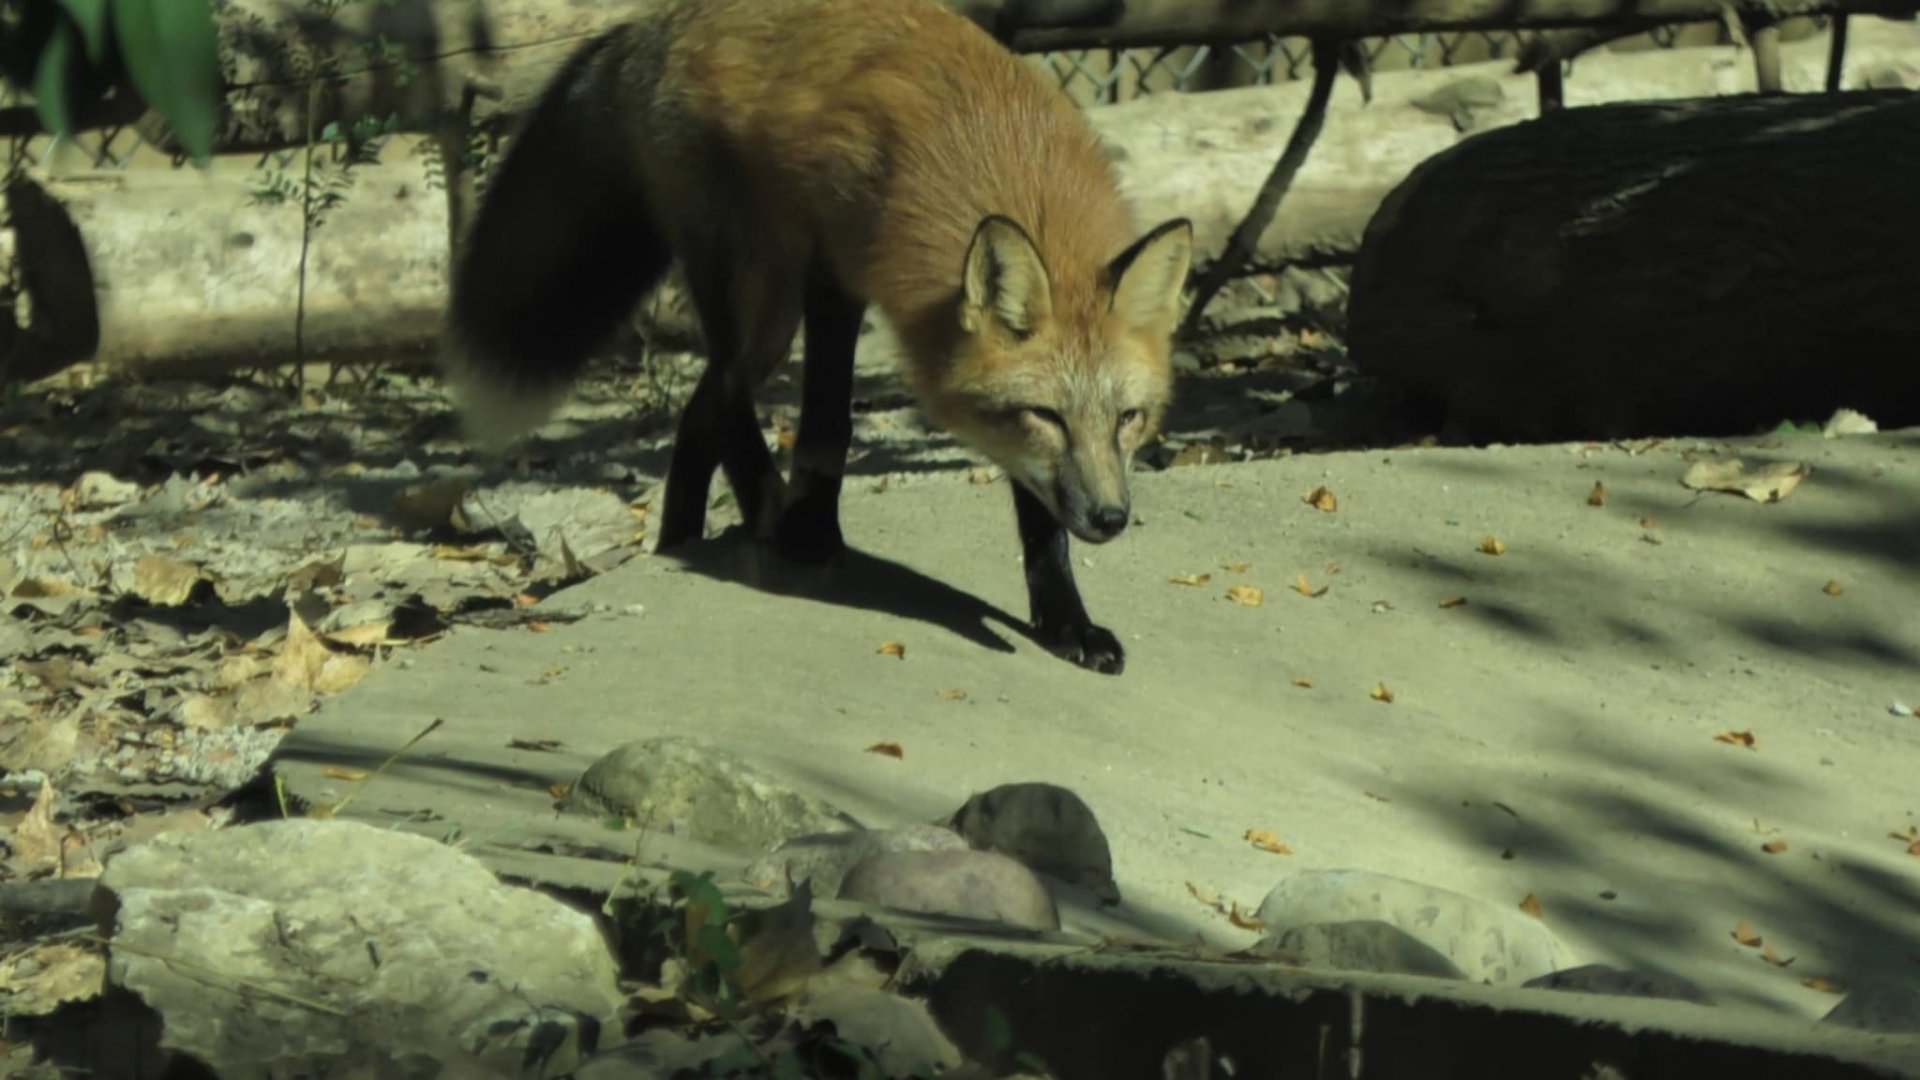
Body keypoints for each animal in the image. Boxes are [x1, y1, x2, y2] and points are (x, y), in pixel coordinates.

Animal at [442, 0, 1192, 675]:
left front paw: (1066, 621)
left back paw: (684, 538)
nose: (1109, 518)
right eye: (1047, 415)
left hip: (770, 318)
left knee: (700, 409)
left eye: (1128, 418)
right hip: (744, 280)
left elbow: (1039, 515)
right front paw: (812, 533)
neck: (1008, 157)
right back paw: (769, 516)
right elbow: (830, 422)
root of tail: (649, 23)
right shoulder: (836, 266)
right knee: (726, 389)